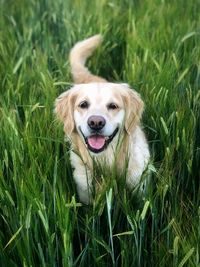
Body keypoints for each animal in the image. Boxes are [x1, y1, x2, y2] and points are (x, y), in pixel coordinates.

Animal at [55, 34, 149, 204]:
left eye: (113, 106)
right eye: (83, 104)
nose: (96, 123)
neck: (106, 160)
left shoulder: (141, 188)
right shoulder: (85, 193)